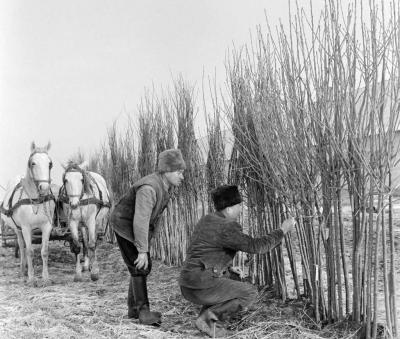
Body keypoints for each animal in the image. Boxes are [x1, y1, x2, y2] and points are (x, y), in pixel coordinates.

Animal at [0, 143, 55, 286]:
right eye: (33, 163)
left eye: (50, 163)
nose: (44, 188)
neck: (35, 200)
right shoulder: (25, 227)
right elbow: (29, 251)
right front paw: (31, 278)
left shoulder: (47, 226)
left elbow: (44, 251)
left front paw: (46, 278)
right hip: (18, 229)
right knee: (21, 245)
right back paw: (22, 270)